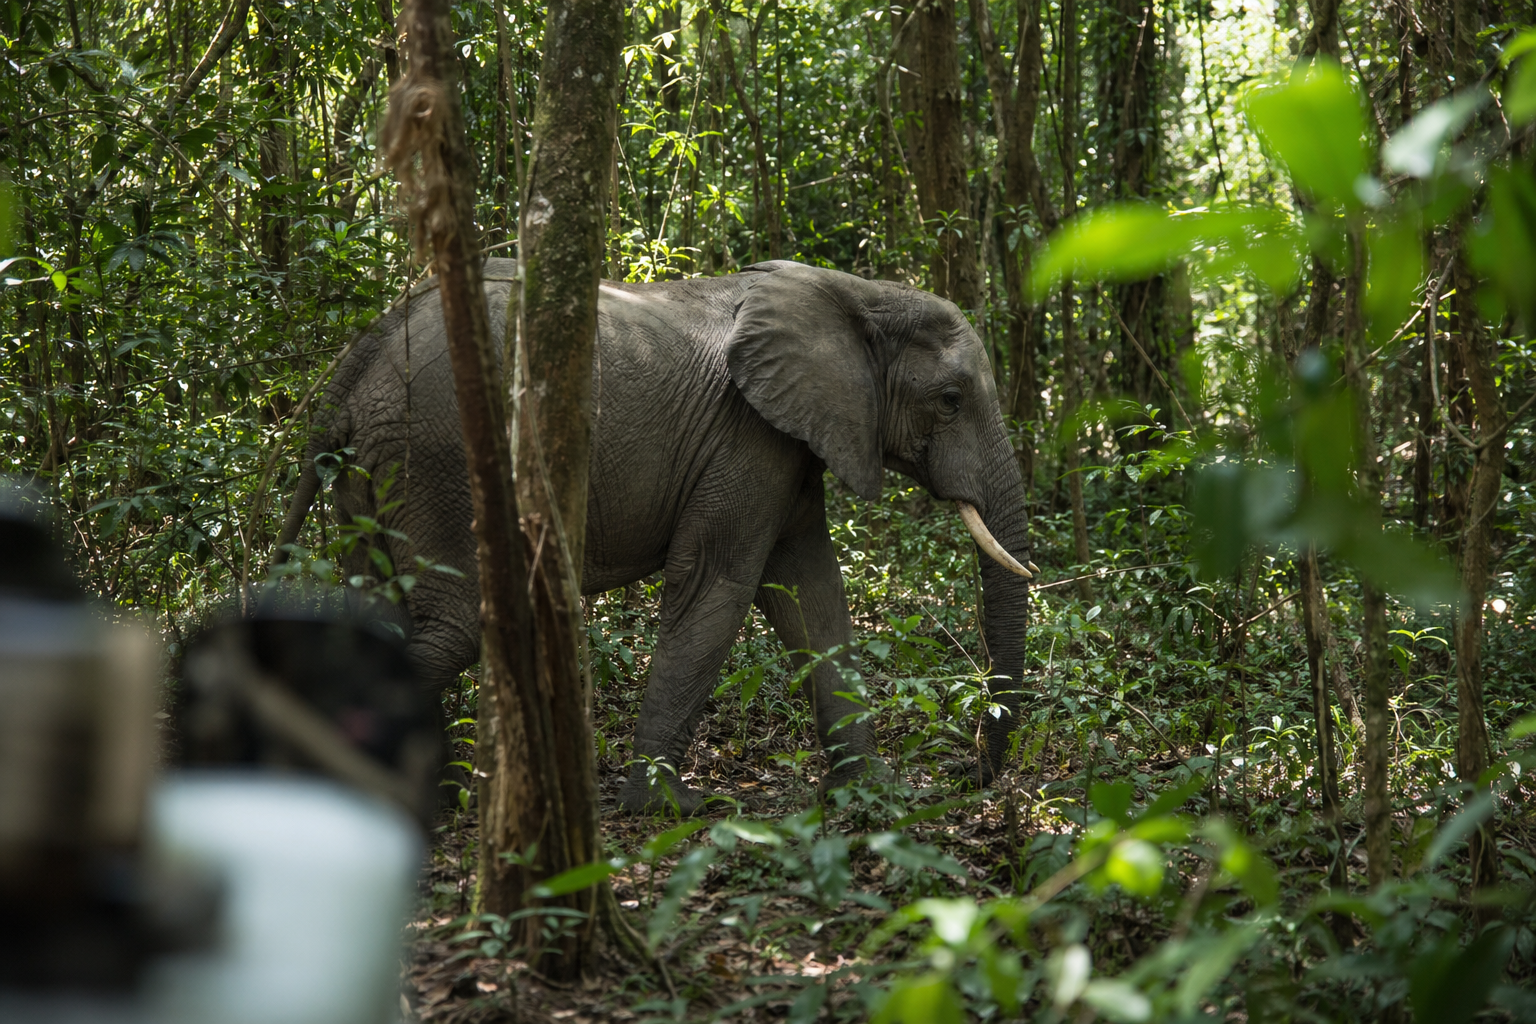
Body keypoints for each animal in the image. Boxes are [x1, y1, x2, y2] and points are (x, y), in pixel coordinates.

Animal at [277, 258, 1035, 813]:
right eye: (950, 401)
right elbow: (718, 587)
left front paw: (874, 791)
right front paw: (676, 809)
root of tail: (364, 351)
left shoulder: (788, 442)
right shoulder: (747, 436)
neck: (861, 294)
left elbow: (811, 590)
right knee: (455, 624)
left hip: (377, 471)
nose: (969, 777)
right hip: (439, 460)